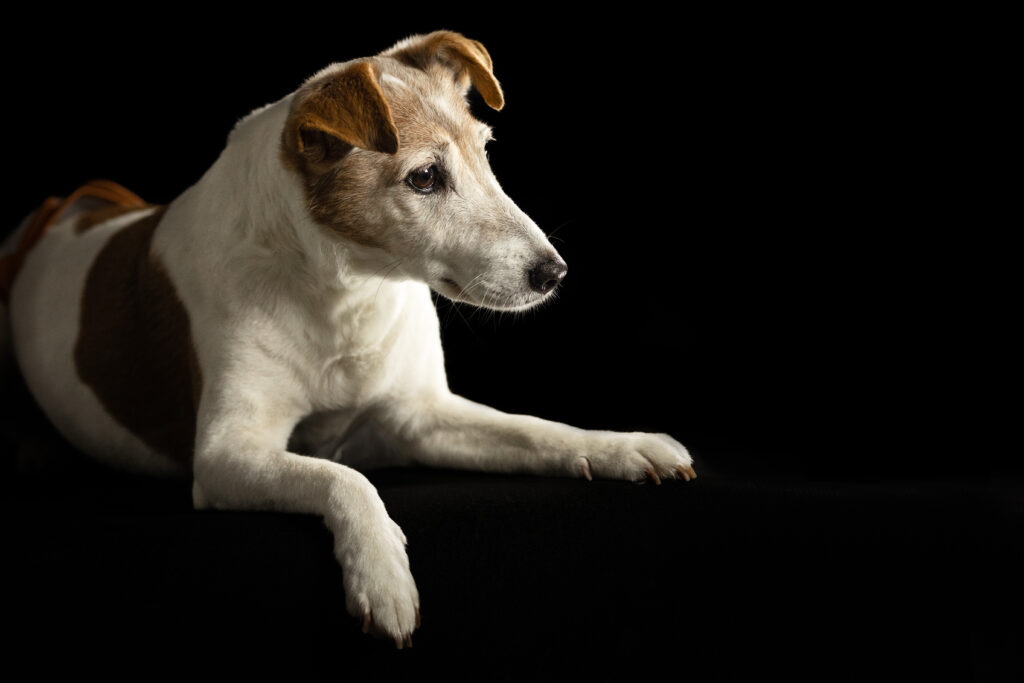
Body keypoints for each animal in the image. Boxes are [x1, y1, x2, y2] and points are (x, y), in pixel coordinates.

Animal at [2, 31, 696, 651]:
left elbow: (535, 430)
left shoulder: (421, 418)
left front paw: (621, 446)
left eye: (486, 151)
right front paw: (383, 576)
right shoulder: (227, 455)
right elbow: (345, 478)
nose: (554, 273)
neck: (347, 289)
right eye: (424, 178)